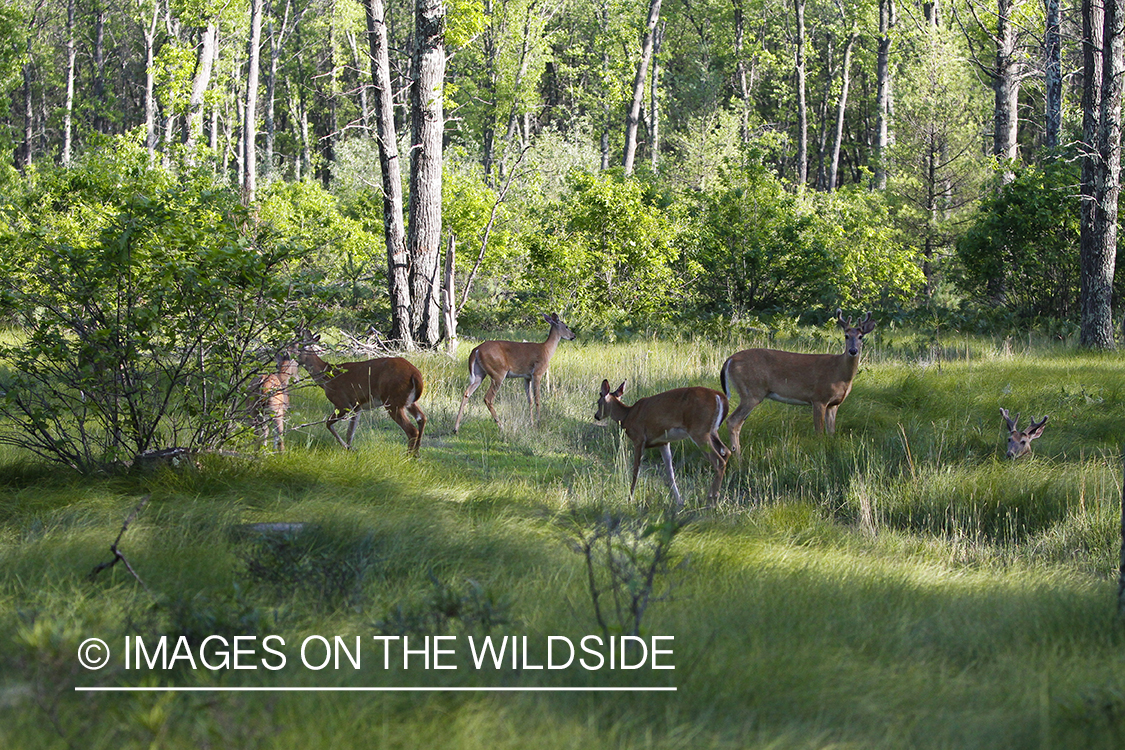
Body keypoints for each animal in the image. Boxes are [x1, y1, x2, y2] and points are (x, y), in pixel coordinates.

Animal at [294, 335, 425, 458]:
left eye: (297, 346)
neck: (327, 378)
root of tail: (416, 374)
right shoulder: (357, 406)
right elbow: (350, 432)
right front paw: (350, 449)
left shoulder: (342, 402)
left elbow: (328, 423)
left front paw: (347, 447)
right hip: (408, 401)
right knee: (421, 418)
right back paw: (416, 454)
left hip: (393, 400)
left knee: (412, 430)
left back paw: (408, 456)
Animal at [598, 377, 729, 508]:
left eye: (598, 402)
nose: (596, 416)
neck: (627, 416)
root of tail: (720, 397)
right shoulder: (663, 443)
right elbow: (670, 473)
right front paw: (679, 501)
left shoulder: (639, 439)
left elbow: (636, 471)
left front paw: (630, 498)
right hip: (712, 431)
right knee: (726, 452)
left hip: (699, 430)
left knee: (719, 461)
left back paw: (711, 501)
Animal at [720, 310, 877, 454]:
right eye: (846, 336)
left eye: (861, 336)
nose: (853, 350)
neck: (840, 373)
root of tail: (730, 360)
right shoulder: (819, 398)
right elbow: (819, 433)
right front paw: (821, 452)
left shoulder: (834, 404)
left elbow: (831, 432)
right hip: (751, 392)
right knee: (732, 421)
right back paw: (737, 456)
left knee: (738, 423)